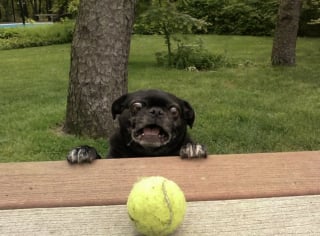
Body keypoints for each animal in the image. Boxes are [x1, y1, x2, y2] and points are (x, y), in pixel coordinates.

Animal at [67, 89, 208, 163]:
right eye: (136, 106)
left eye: (174, 111)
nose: (156, 111)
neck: (147, 154)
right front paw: (84, 150)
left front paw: (192, 147)